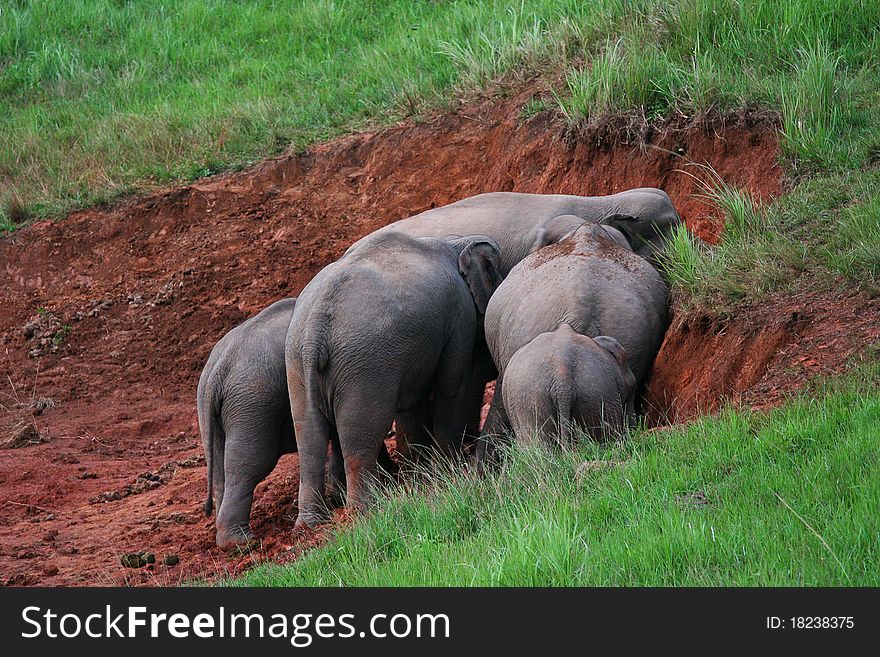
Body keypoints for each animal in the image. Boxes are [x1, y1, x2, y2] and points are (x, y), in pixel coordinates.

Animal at [284, 231, 502, 528]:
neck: (454, 242)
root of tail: (315, 329)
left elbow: (414, 402)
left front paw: (421, 474)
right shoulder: (460, 315)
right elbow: (451, 386)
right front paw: (448, 471)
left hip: (296, 364)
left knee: (308, 434)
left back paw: (310, 524)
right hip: (364, 365)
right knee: (359, 435)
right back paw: (364, 512)